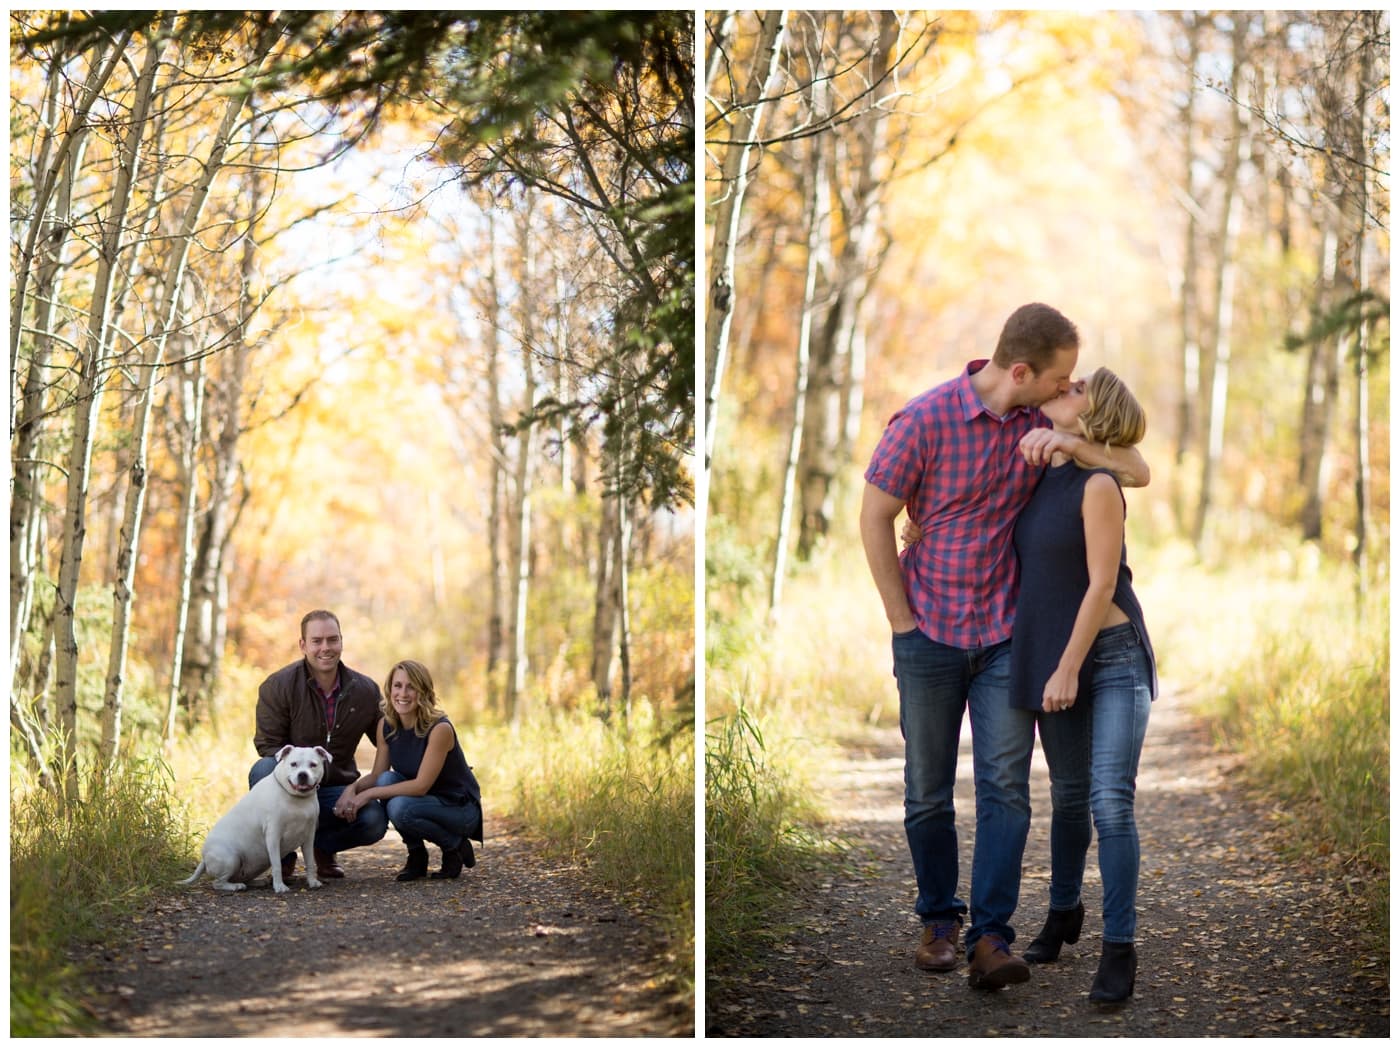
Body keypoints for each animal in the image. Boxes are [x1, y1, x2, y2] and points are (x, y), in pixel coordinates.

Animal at [180, 744, 330, 889]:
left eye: (313, 765)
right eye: (293, 764)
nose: (303, 775)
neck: (297, 799)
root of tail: (204, 857)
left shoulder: (309, 837)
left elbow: (310, 862)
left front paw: (312, 882)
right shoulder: (273, 836)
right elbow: (277, 865)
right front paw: (279, 886)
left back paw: (257, 882)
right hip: (230, 858)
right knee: (218, 883)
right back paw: (235, 887)